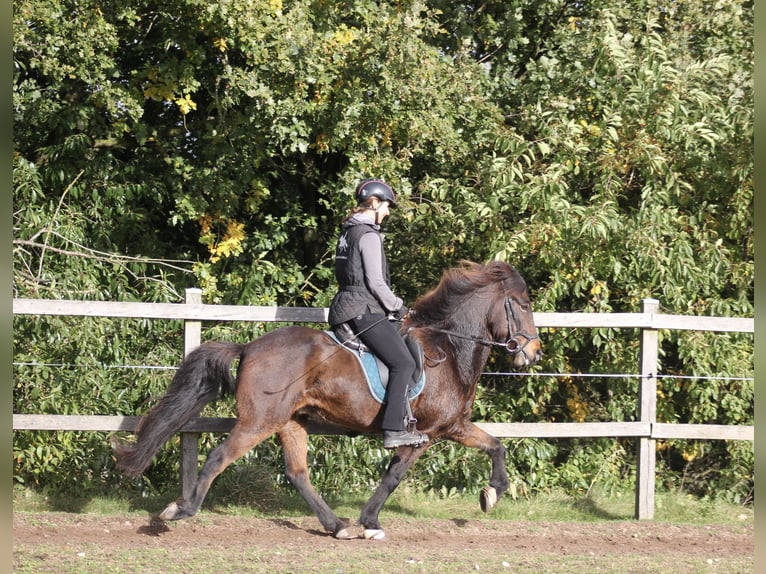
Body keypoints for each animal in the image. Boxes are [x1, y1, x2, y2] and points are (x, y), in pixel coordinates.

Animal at [115, 260, 544, 540]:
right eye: (523, 305)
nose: (533, 354)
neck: (450, 349)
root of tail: (250, 347)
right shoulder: (426, 433)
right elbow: (393, 477)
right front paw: (371, 522)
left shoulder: (453, 425)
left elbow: (496, 446)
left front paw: (491, 493)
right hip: (259, 422)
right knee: (220, 457)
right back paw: (181, 509)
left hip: (290, 422)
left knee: (297, 473)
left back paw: (336, 527)